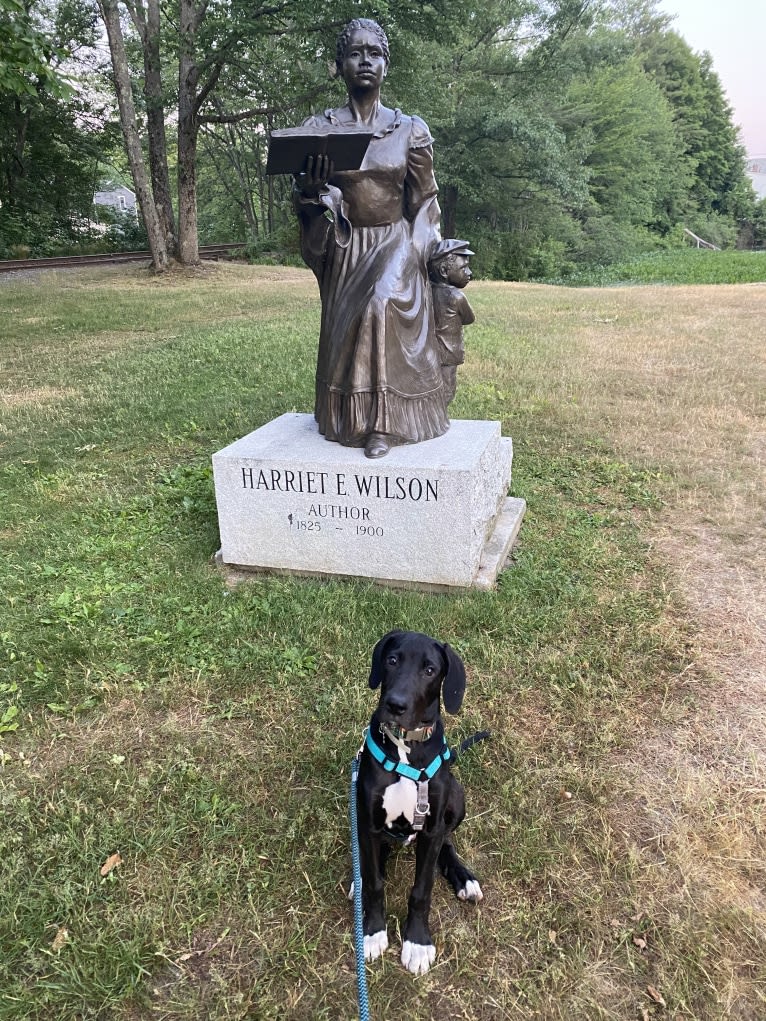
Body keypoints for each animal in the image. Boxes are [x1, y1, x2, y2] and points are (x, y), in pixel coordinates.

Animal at [355, 628, 486, 971]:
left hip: (456, 796)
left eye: (429, 670)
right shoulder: (368, 822)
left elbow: (421, 890)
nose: (395, 704)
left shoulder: (431, 827)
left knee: (447, 843)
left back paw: (464, 877)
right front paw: (372, 932)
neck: (405, 749)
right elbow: (374, 883)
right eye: (391, 660)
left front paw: (417, 942)